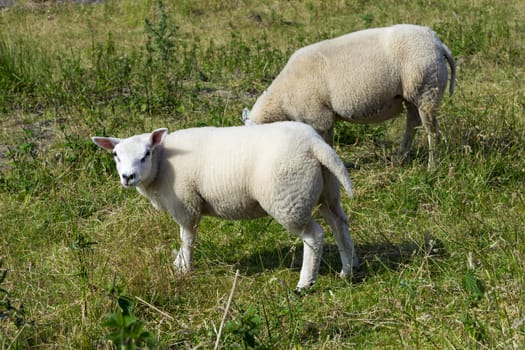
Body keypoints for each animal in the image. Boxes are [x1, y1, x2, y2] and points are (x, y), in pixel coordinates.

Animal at [92, 121, 358, 292]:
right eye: (115, 155)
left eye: (146, 153)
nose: (127, 176)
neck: (161, 164)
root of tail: (314, 144)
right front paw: (178, 263)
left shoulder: (186, 205)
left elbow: (187, 238)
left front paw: (184, 268)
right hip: (327, 191)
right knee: (339, 224)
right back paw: (347, 270)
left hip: (289, 197)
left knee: (314, 236)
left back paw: (305, 283)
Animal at [244, 23, 452, 168]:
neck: (281, 100)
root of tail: (437, 43)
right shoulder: (324, 117)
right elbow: (327, 143)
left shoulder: (318, 116)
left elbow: (325, 143)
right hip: (411, 95)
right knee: (412, 123)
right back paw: (400, 157)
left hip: (427, 90)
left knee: (432, 131)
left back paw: (432, 165)